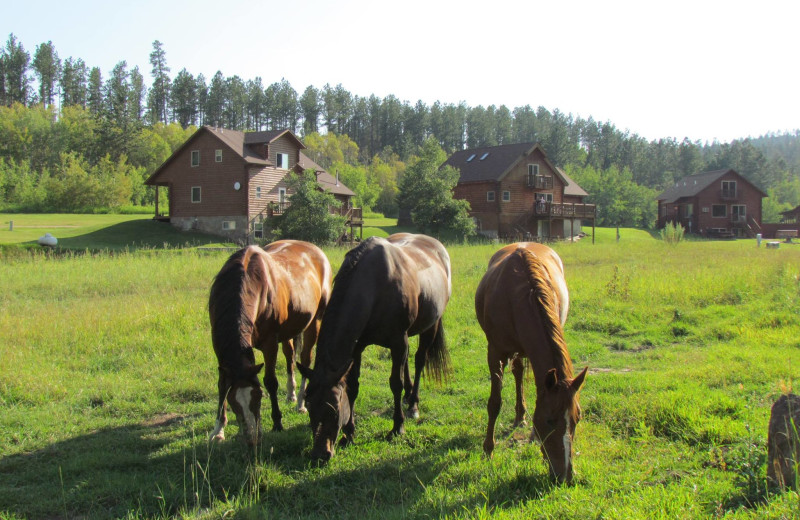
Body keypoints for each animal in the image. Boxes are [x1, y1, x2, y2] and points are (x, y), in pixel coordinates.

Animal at [209, 241, 332, 446]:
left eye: (258, 397)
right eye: (234, 402)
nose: (252, 438)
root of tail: (315, 249)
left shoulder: (269, 343)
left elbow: (270, 382)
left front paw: (277, 422)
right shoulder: (219, 347)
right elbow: (222, 384)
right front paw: (218, 429)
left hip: (315, 321)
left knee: (305, 360)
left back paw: (301, 402)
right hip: (288, 330)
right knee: (290, 355)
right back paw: (291, 394)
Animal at [298, 234, 454, 462]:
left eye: (333, 409)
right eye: (309, 407)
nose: (320, 454)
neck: (373, 286)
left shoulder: (398, 340)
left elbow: (395, 383)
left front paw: (398, 427)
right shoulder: (358, 347)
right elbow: (353, 386)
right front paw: (349, 433)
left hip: (429, 326)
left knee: (419, 360)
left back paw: (413, 403)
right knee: (407, 361)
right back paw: (408, 395)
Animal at [476, 243, 588, 484]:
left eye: (578, 418)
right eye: (549, 420)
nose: (566, 477)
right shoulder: (495, 352)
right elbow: (495, 402)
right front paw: (489, 449)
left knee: (519, 374)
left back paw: (521, 416)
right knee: (518, 373)